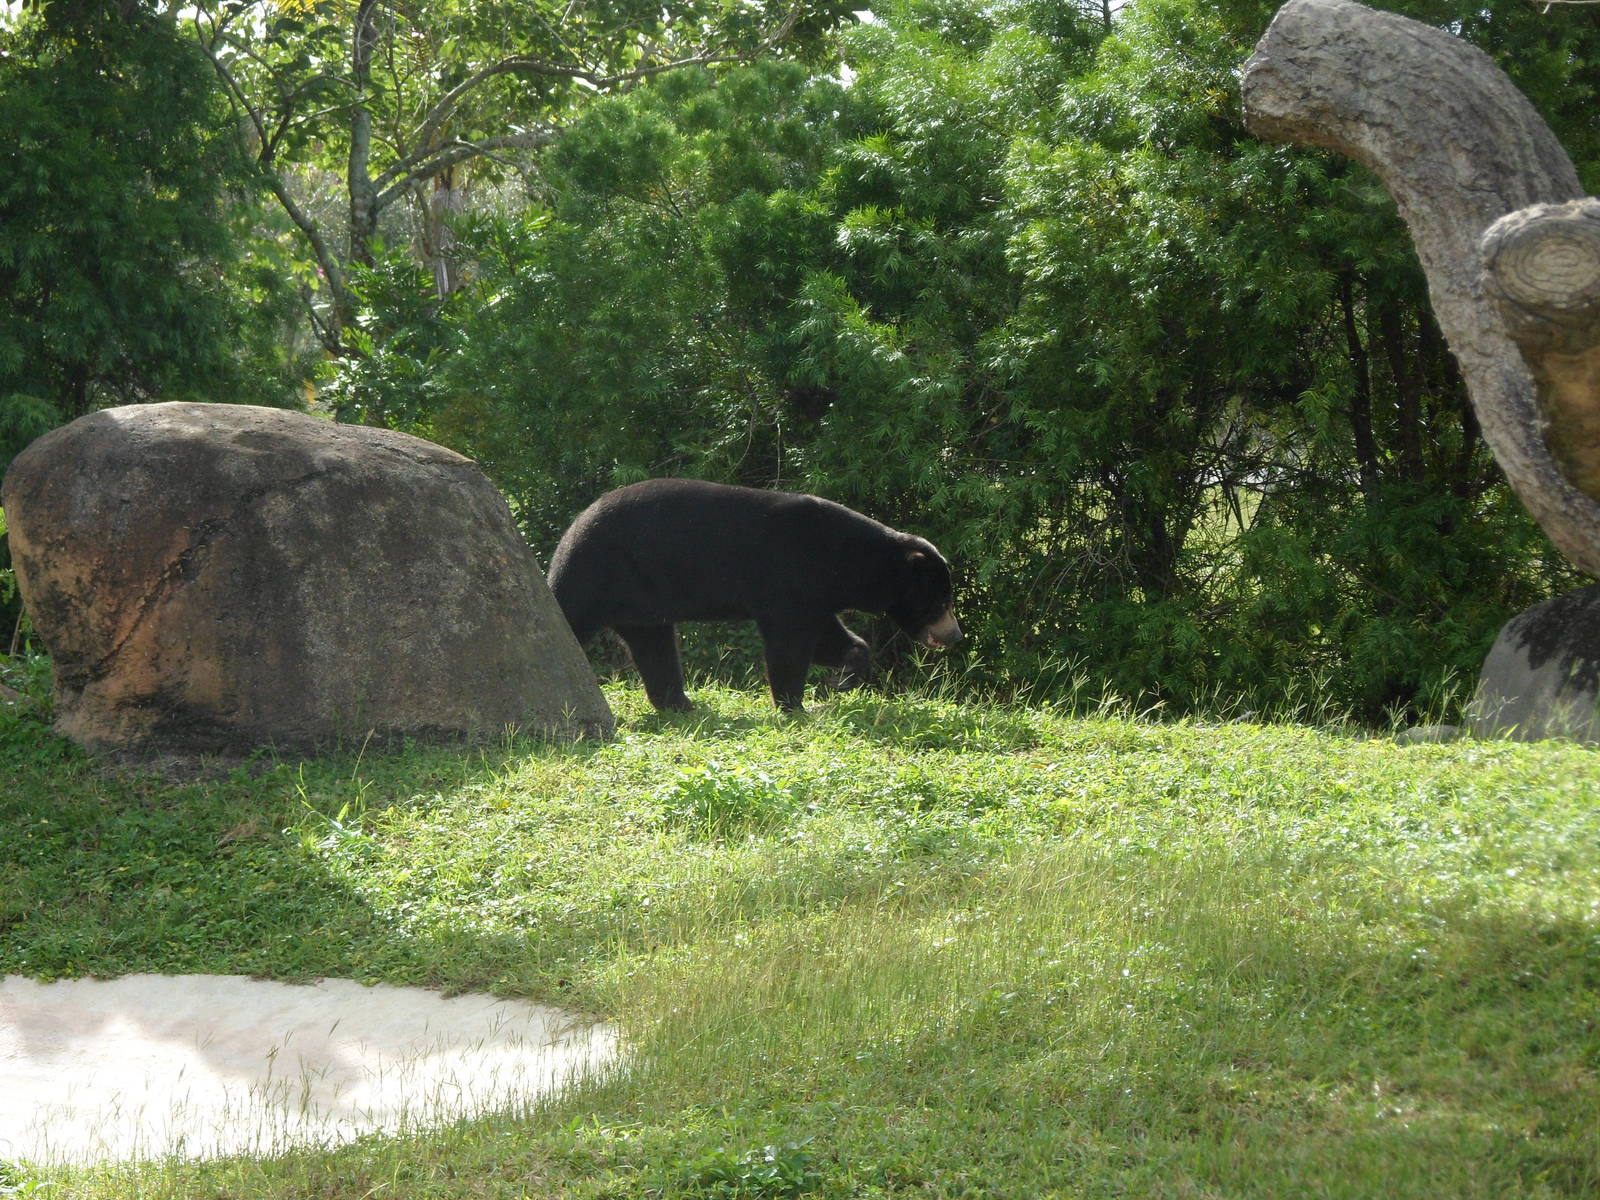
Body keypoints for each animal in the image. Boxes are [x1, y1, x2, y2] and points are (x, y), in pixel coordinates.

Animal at [546, 478, 962, 712]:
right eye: (940, 601)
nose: (955, 634)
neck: (845, 561)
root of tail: (572, 528)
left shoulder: (816, 594)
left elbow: (828, 636)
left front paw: (847, 671)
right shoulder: (790, 578)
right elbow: (789, 643)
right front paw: (794, 703)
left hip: (642, 600)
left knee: (655, 646)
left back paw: (679, 703)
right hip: (599, 574)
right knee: (571, 613)